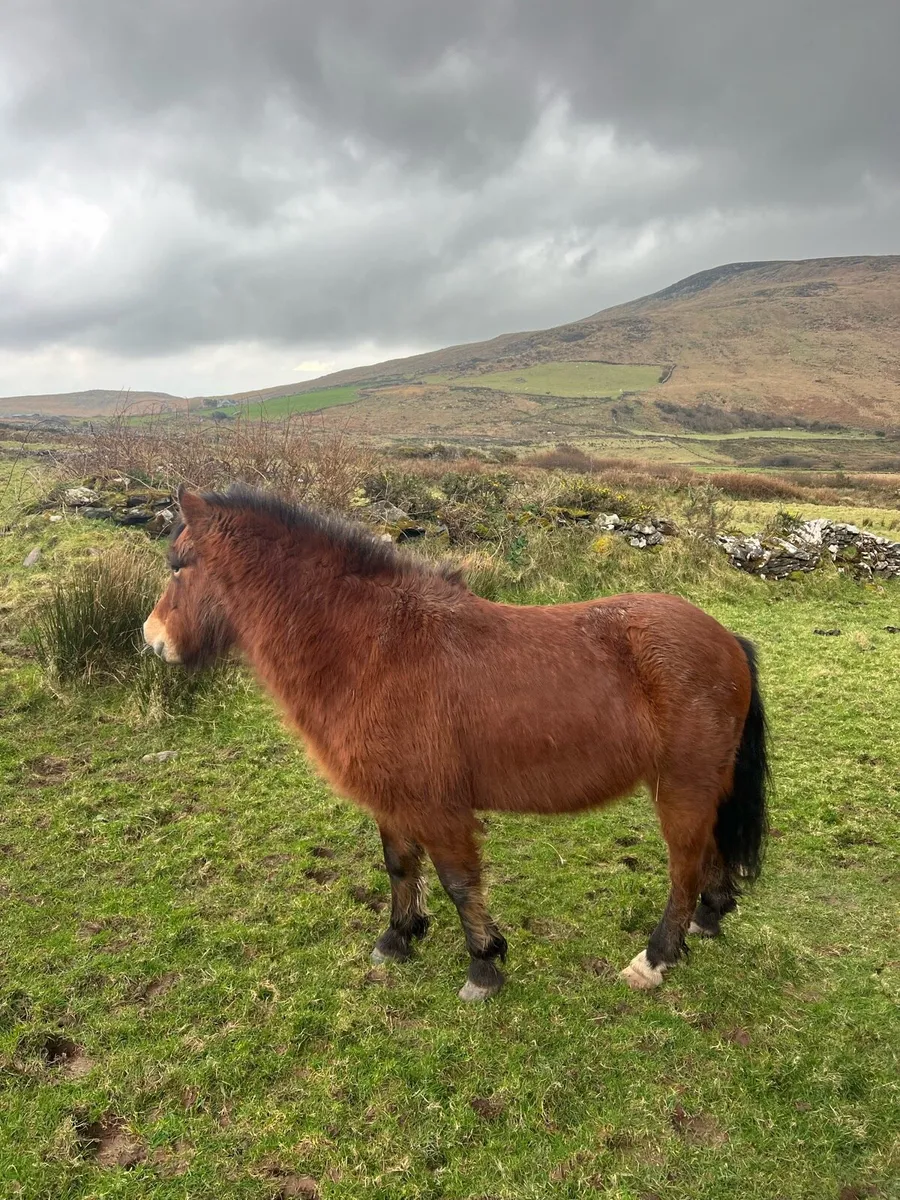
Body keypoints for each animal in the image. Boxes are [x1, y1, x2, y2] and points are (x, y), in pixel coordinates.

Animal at [144, 484, 769, 1002]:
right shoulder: (392, 799)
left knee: (685, 865)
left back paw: (656, 958)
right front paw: (398, 937)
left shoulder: (437, 808)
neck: (374, 649)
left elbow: (459, 883)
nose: (151, 640)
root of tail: (726, 640)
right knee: (711, 849)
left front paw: (483, 965)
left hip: (681, 788)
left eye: (178, 566)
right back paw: (708, 919)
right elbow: (399, 866)